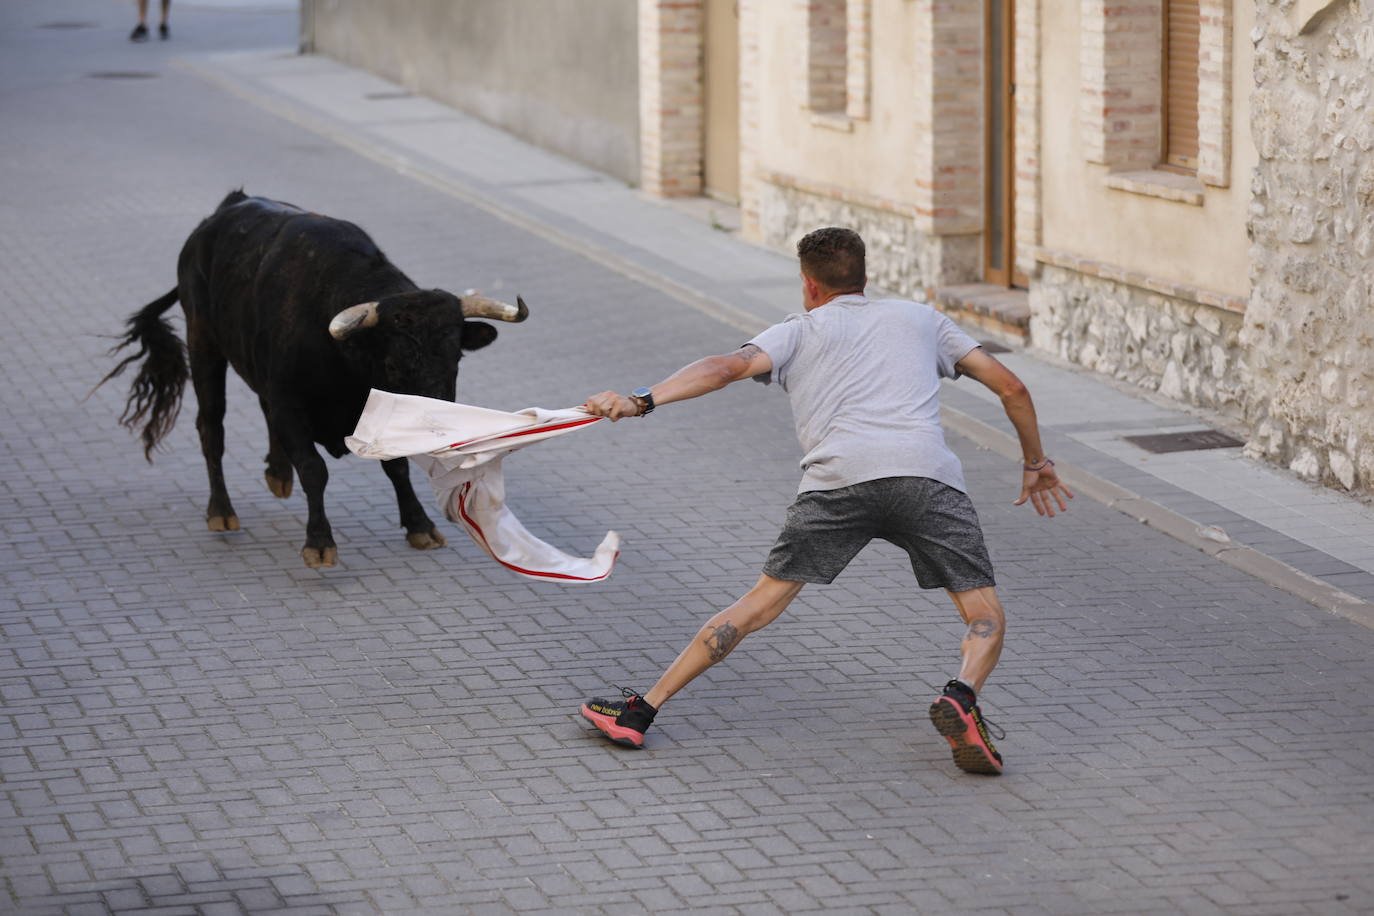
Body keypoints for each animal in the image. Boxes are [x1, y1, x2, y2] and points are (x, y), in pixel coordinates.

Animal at [100, 190, 530, 568]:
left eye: (455, 358)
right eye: (393, 364)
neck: (347, 366)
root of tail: (221, 213)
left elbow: (396, 466)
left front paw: (420, 526)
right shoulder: (290, 401)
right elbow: (313, 468)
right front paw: (319, 543)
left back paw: (277, 474)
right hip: (203, 342)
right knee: (211, 426)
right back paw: (221, 511)